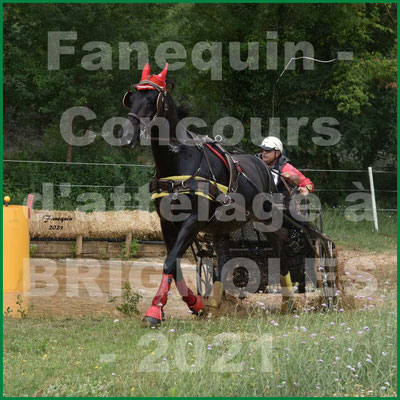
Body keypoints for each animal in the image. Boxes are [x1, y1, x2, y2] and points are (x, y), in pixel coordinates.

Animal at [117, 62, 292, 324]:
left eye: (152, 99)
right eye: (132, 97)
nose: (126, 136)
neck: (180, 159)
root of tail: (262, 164)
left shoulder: (193, 220)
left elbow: (169, 262)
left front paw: (154, 310)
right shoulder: (167, 223)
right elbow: (175, 265)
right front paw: (194, 302)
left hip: (267, 219)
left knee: (280, 248)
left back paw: (288, 299)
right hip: (222, 227)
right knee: (223, 257)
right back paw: (215, 300)